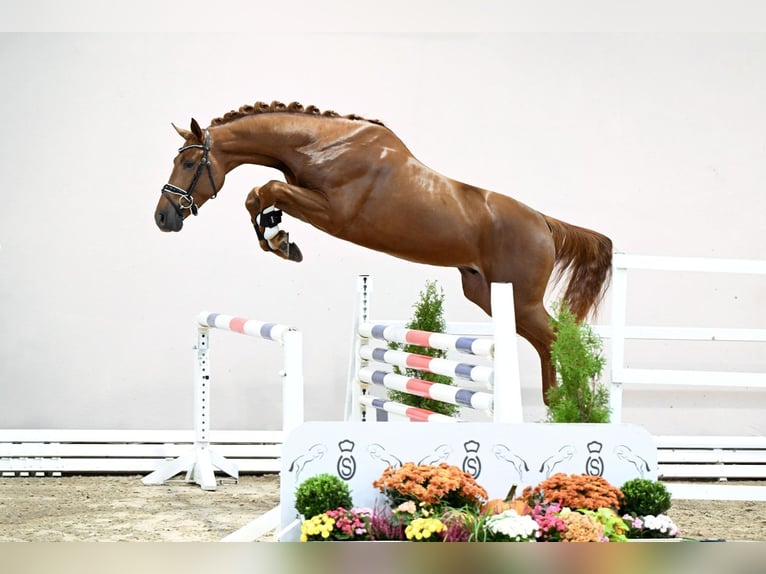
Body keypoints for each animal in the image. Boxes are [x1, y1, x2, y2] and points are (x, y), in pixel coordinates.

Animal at [155, 101, 613, 404]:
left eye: (190, 162)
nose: (163, 217)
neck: (323, 144)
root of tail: (543, 223)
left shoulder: (333, 213)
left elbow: (264, 189)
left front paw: (281, 241)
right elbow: (262, 195)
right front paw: (279, 236)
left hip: (520, 298)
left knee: (557, 337)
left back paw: (574, 404)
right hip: (489, 294)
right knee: (546, 341)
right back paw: (557, 403)